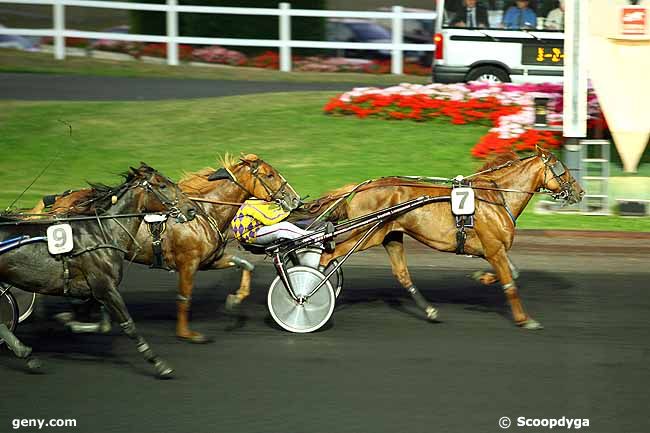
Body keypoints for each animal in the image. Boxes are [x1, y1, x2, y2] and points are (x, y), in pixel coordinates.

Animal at [25, 154, 298, 340]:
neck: (203, 211)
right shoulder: (188, 264)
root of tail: (59, 200)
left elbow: (246, 265)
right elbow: (184, 297)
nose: (294, 198)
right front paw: (187, 333)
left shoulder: (209, 260)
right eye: (270, 174)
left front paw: (235, 299)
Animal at [310, 147, 584, 330]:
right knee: (330, 254)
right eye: (561, 169)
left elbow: (512, 273)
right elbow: (510, 284)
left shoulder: (494, 249)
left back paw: (430, 310)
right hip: (368, 234)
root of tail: (361, 187)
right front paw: (524, 319)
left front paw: (482, 277)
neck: (496, 198)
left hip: (391, 235)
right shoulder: (494, 249)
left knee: (402, 273)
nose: (580, 192)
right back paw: (312, 289)